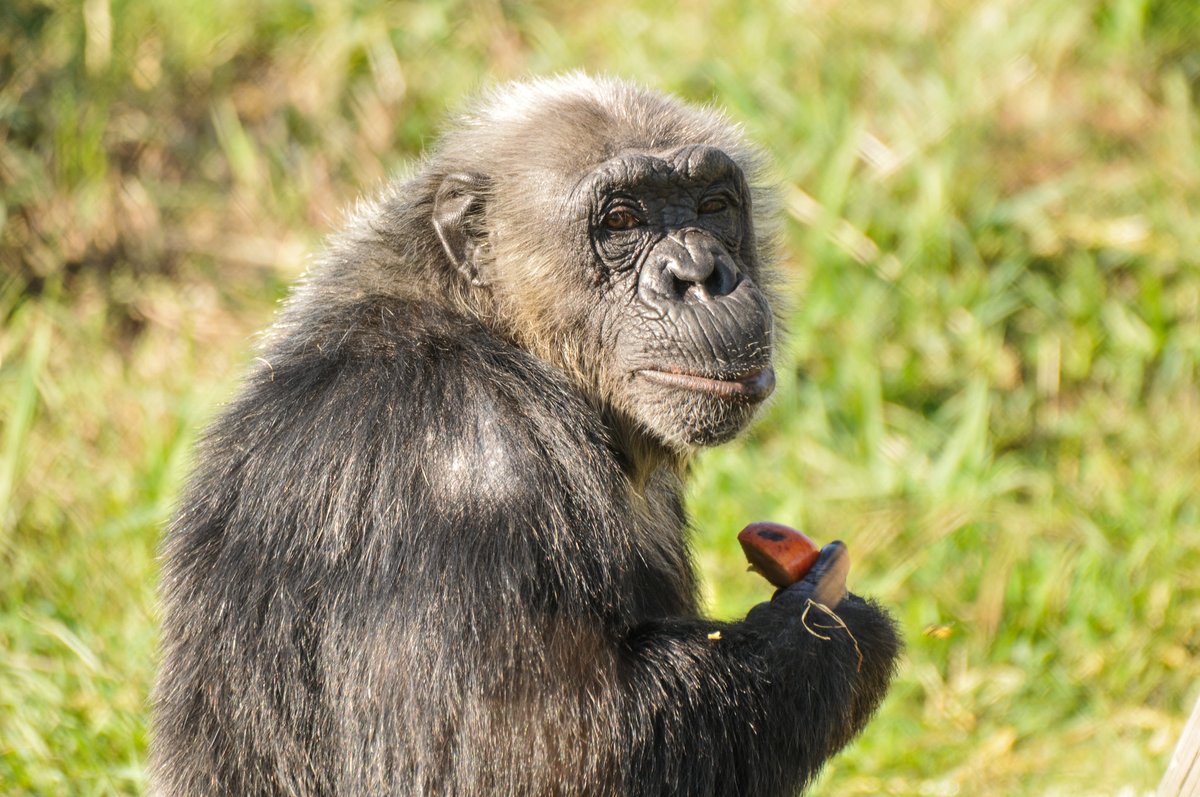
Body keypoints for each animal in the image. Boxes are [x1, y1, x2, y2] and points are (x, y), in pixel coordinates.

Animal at [151, 74, 900, 797]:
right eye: (621, 219)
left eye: (713, 206)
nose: (698, 273)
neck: (500, 328)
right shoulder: (466, 470)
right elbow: (539, 761)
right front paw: (831, 629)